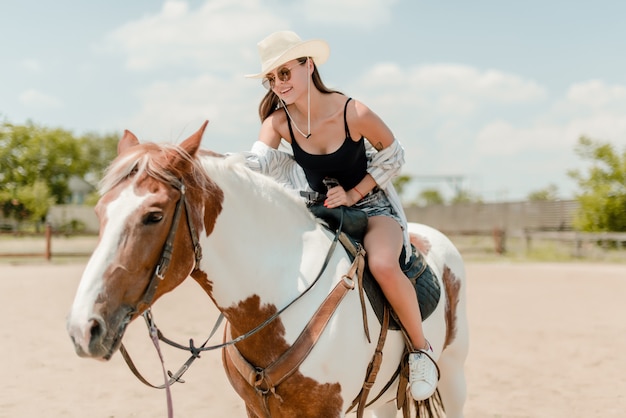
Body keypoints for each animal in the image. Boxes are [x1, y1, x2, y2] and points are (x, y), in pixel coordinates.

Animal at [66, 122, 466, 416]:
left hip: (453, 373)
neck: (281, 300)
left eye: (154, 215)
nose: (83, 329)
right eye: (100, 211)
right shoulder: (255, 408)